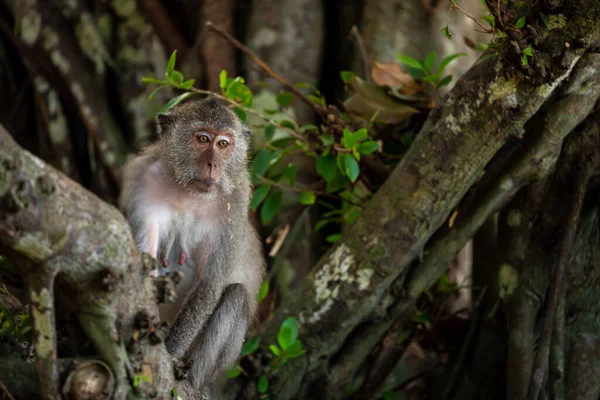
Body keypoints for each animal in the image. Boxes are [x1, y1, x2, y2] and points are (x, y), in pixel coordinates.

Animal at [117, 95, 264, 396]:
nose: (212, 165)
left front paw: (169, 355)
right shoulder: (141, 182)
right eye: (202, 139)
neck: (188, 190)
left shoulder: (235, 200)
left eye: (223, 144)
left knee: (235, 295)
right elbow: (144, 266)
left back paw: (193, 380)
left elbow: (209, 286)